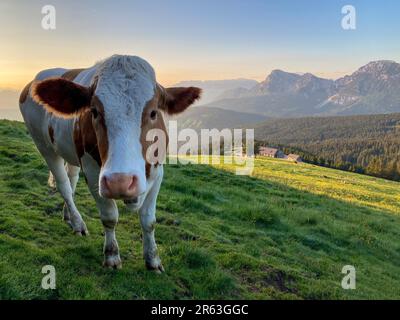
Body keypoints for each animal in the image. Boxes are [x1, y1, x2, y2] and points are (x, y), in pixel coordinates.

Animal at [19, 54, 200, 270]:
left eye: (153, 112)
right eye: (94, 111)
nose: (119, 182)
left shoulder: (157, 171)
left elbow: (148, 220)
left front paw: (153, 259)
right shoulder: (93, 173)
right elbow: (109, 216)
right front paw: (112, 255)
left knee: (71, 179)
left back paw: (69, 216)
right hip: (43, 145)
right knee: (64, 185)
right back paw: (78, 222)